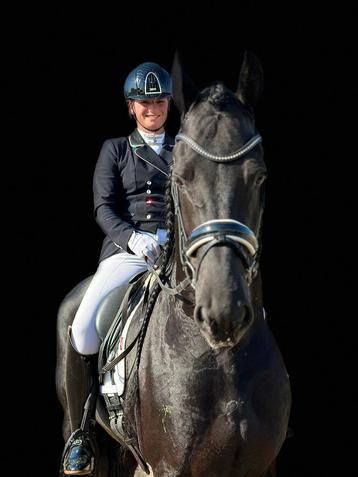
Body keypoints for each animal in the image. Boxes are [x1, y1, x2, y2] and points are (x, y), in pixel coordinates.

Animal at [55, 50, 290, 474]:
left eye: (260, 176)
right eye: (180, 179)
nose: (223, 311)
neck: (221, 356)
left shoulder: (263, 465)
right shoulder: (170, 466)